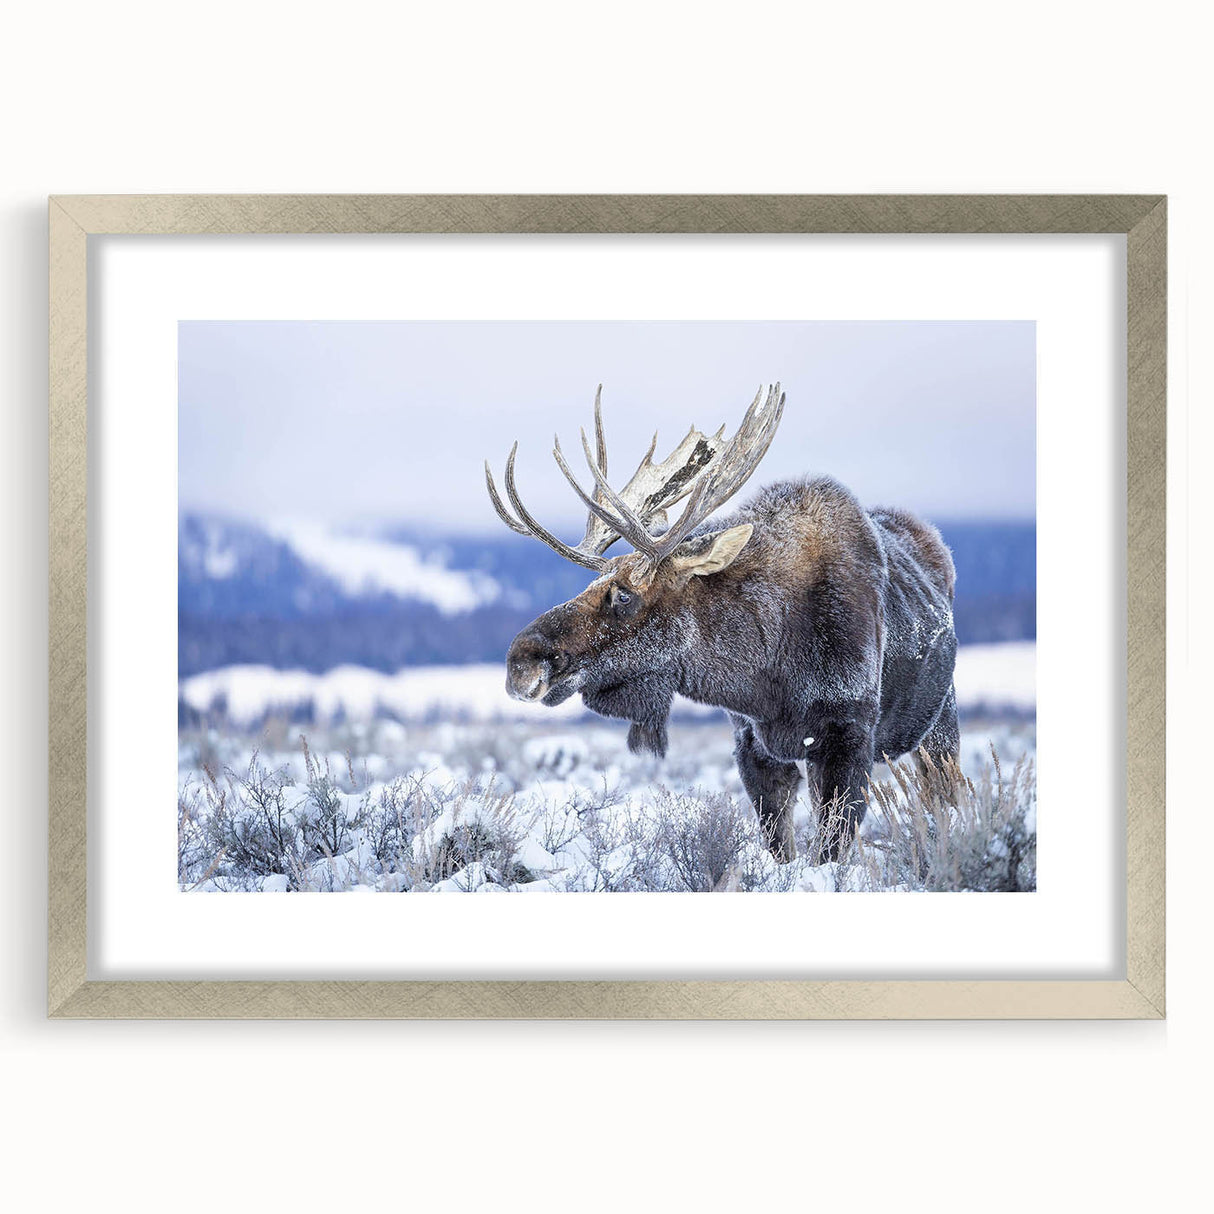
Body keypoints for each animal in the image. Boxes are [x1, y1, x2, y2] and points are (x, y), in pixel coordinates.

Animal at [485, 384, 959, 862]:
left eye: (624, 594)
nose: (520, 663)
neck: (767, 673)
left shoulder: (848, 736)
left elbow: (831, 848)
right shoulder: (752, 743)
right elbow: (780, 846)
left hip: (940, 722)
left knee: (946, 795)